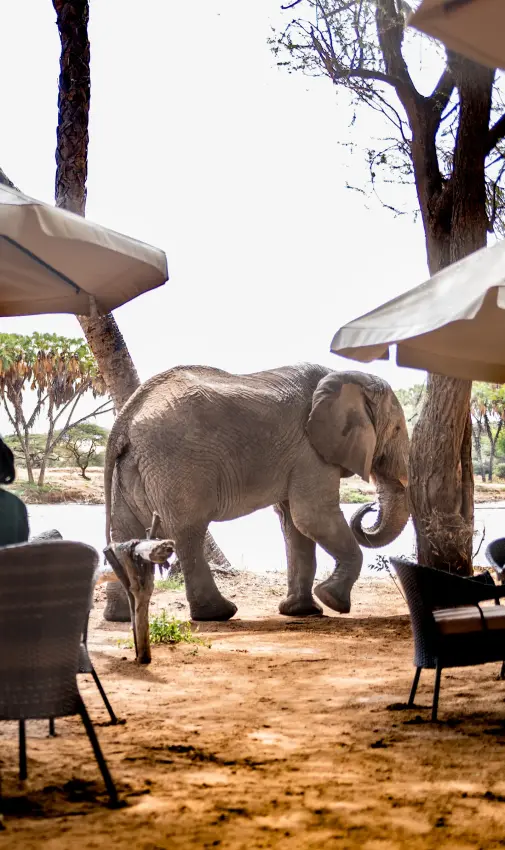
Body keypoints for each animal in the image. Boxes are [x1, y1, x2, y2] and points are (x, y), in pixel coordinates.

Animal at [104, 363, 409, 662]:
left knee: (125, 531)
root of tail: (126, 417)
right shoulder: (310, 450)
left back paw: (119, 615)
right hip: (176, 464)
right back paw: (219, 613)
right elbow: (312, 516)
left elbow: (294, 523)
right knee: (189, 531)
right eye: (396, 429)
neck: (345, 375)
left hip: (132, 469)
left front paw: (301, 611)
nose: (369, 508)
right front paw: (333, 601)